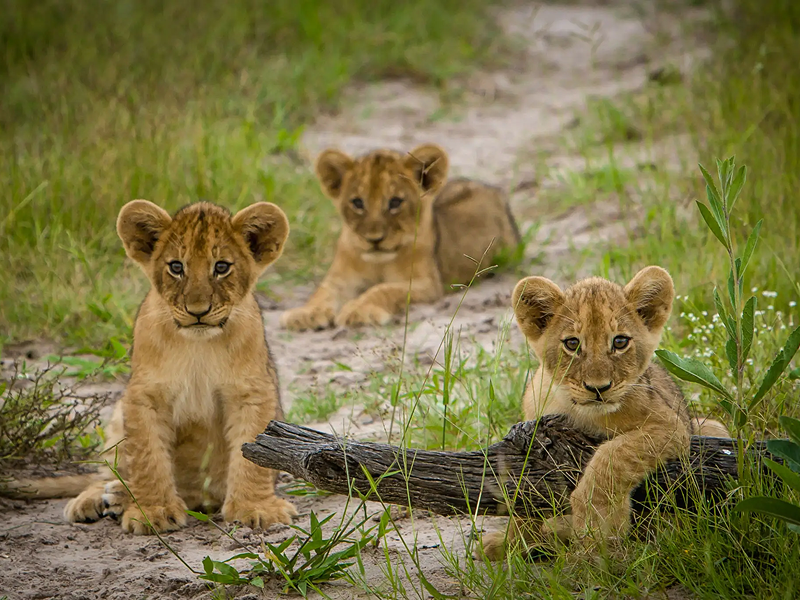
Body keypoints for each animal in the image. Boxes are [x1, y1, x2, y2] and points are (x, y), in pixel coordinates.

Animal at [5, 200, 297, 534]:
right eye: (176, 267)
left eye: (222, 267)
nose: (198, 311)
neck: (198, 345)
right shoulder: (144, 395)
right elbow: (148, 456)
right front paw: (152, 512)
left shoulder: (252, 392)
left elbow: (253, 456)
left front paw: (257, 507)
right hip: (117, 419)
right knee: (108, 472)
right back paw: (100, 498)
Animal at [280, 144, 521, 330]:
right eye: (357, 202)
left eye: (395, 202)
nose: (374, 239)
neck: (377, 263)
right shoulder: (339, 279)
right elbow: (321, 292)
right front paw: (305, 314)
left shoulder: (425, 284)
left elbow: (384, 289)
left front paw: (359, 310)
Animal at [478, 266, 730, 560]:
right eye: (572, 344)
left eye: (620, 341)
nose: (598, 388)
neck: (577, 410)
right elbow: (523, 496)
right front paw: (508, 541)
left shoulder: (669, 426)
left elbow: (612, 456)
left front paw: (598, 521)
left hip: (713, 427)